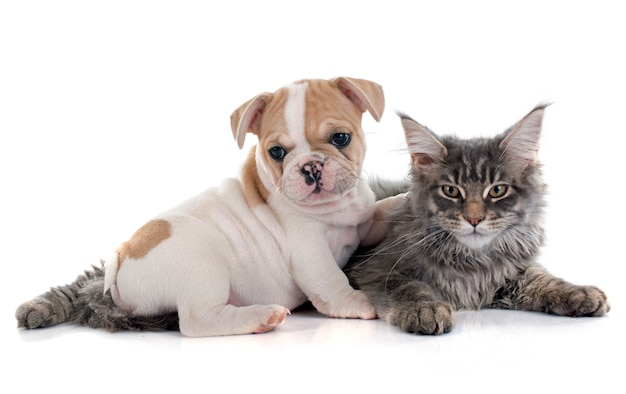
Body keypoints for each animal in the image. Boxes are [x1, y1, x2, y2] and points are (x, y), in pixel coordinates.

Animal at [99, 77, 382, 336]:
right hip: (202, 263)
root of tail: (122, 253)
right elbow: (330, 278)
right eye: (276, 152)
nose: (310, 166)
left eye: (341, 138)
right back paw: (261, 316)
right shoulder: (309, 250)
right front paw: (358, 301)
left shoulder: (363, 220)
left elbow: (382, 212)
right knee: (197, 320)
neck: (336, 208)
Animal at [344, 105, 608, 336]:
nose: (474, 218)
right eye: (450, 191)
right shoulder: (375, 269)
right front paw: (425, 309)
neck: (472, 260)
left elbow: (541, 279)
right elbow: (408, 287)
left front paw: (580, 292)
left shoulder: (507, 275)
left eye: (498, 190)